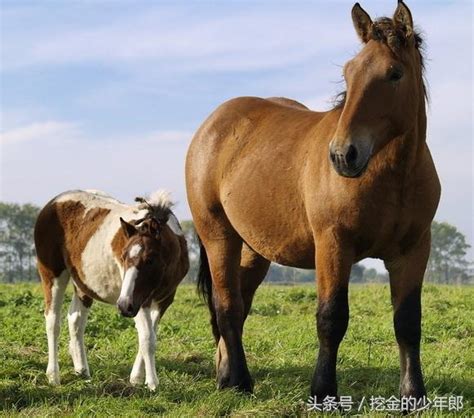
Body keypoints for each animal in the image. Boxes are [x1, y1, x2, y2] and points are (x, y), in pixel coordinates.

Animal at [34, 189, 189, 388]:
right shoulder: (138, 300)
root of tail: (52, 203)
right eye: (122, 257)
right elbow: (147, 338)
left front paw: (137, 377)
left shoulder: (163, 300)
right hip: (52, 274)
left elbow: (150, 335)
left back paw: (82, 371)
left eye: (150, 259)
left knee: (75, 319)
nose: (122, 306)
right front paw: (152, 383)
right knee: (53, 321)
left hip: (83, 284)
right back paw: (54, 376)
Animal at [185, 0, 440, 402]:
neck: (393, 176)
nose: (342, 155)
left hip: (254, 250)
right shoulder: (333, 245)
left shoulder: (413, 250)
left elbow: (408, 322)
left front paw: (413, 395)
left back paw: (225, 374)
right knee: (227, 306)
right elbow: (331, 318)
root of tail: (213, 124)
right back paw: (239, 381)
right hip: (218, 238)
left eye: (394, 74)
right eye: (349, 74)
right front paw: (323, 392)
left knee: (239, 306)